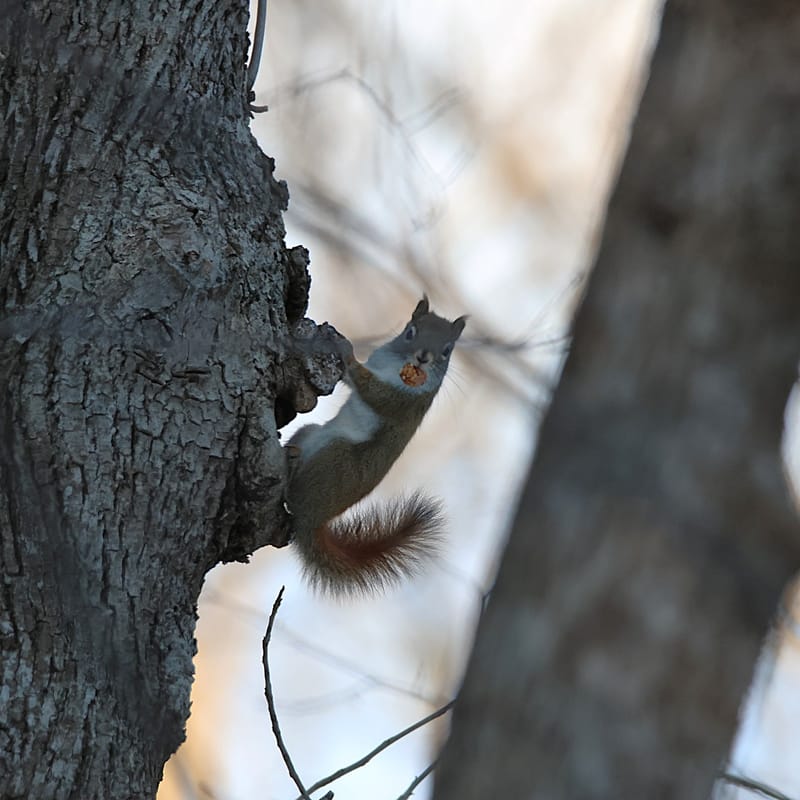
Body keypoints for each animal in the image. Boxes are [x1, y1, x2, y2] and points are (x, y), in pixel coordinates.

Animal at [286, 297, 466, 594]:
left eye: (447, 350)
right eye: (411, 331)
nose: (423, 357)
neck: (398, 365)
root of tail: (314, 522)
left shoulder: (403, 400)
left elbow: (371, 390)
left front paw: (345, 351)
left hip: (336, 458)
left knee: (293, 497)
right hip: (308, 433)